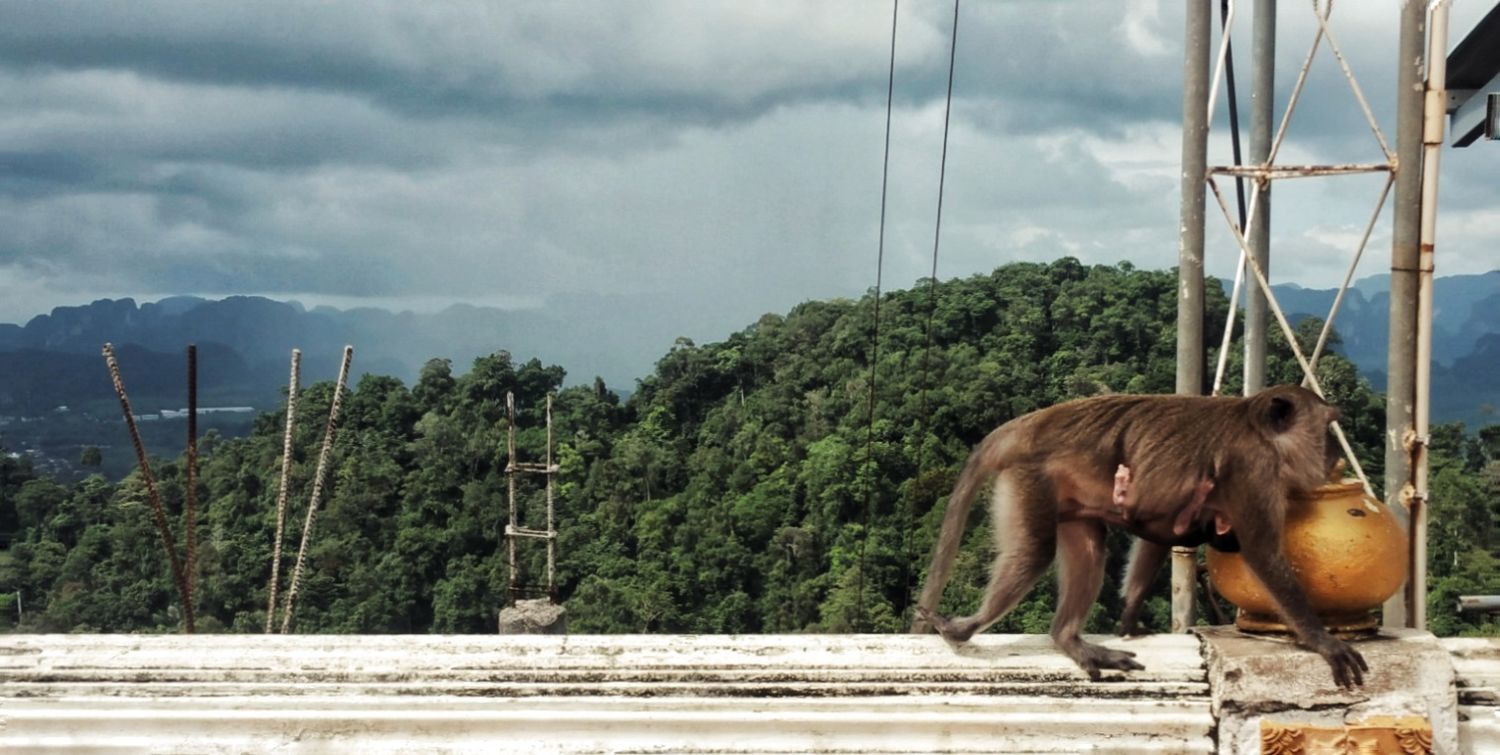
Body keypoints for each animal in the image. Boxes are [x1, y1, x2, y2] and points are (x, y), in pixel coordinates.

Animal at [911, 385, 1367, 689]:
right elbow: (1262, 554)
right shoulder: (1253, 471)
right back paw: (964, 630)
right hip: (1030, 479)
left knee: (1088, 546)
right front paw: (1323, 641)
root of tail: (1030, 424)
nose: (1334, 454)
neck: (1259, 432)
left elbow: (1160, 534)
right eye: (1327, 428)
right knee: (1036, 551)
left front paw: (1129, 616)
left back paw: (1067, 638)